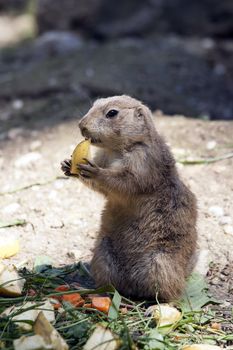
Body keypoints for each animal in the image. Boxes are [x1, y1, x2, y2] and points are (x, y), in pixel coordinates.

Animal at [61, 95, 198, 300]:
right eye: (93, 104)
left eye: (112, 113)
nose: (81, 125)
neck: (115, 150)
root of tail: (134, 287)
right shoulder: (104, 156)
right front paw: (67, 165)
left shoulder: (143, 160)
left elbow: (127, 181)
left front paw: (95, 172)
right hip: (102, 254)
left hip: (161, 262)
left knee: (171, 292)